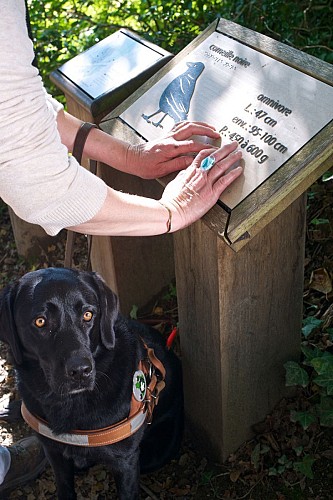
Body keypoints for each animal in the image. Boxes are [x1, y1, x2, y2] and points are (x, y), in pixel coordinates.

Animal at [0, 268, 182, 498]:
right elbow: (65, 488)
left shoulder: (126, 461)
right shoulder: (53, 451)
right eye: (40, 321)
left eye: (88, 315)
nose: (80, 371)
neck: (70, 403)